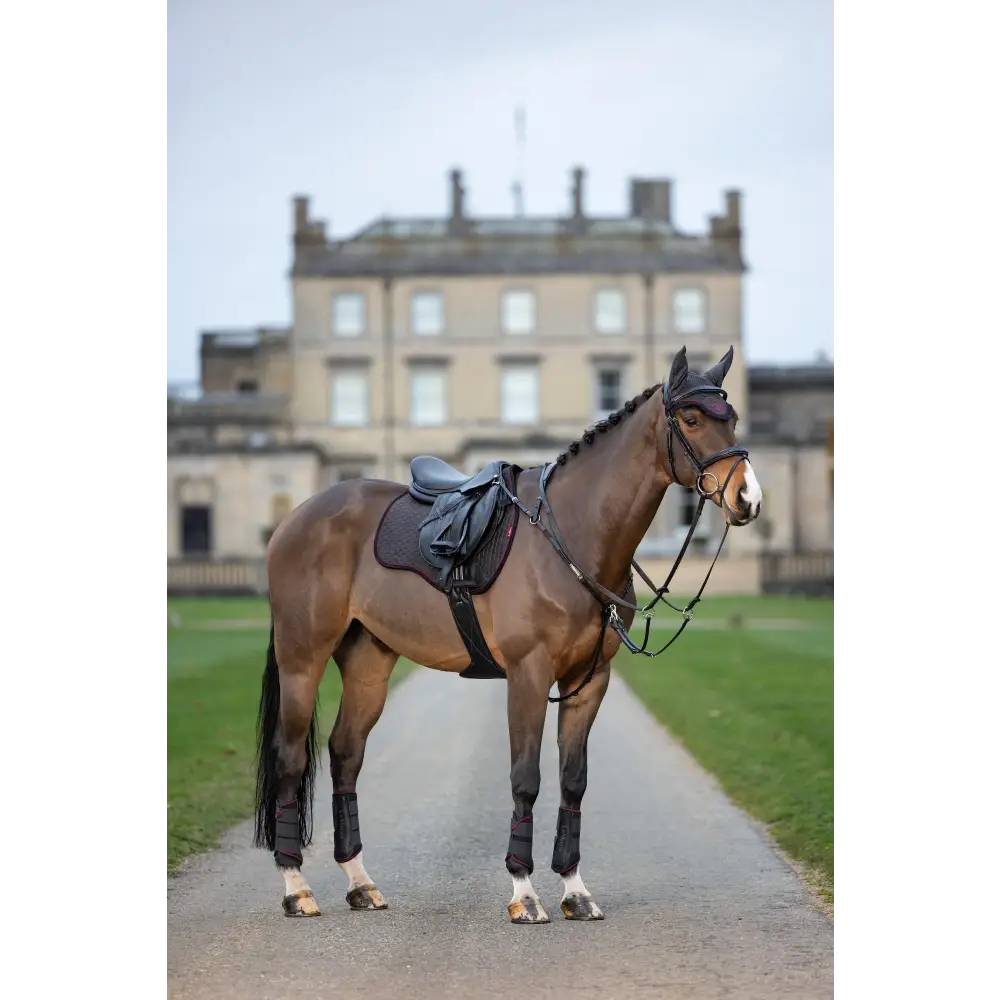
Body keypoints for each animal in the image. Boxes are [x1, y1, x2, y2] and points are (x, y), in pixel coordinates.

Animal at [254, 344, 760, 920]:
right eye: (692, 419)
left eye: (732, 417)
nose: (748, 498)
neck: (572, 536)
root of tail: (296, 519)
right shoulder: (528, 675)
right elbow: (526, 778)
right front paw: (524, 890)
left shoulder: (589, 682)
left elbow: (572, 781)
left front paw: (575, 889)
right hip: (302, 660)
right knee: (291, 758)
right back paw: (296, 887)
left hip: (367, 665)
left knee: (344, 755)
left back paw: (360, 881)